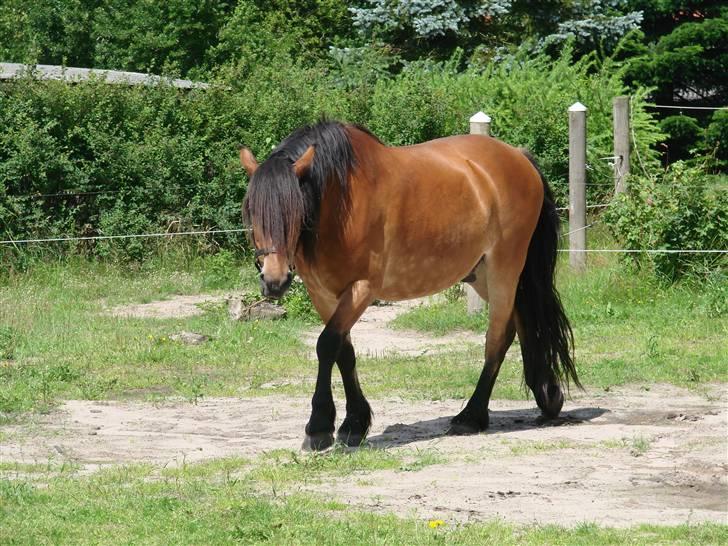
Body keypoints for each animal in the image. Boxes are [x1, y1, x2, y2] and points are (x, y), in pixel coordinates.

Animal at [239, 121, 580, 448]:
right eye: (252, 212)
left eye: (294, 212)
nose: (274, 281)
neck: (341, 203)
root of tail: (518, 156)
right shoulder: (323, 294)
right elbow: (343, 351)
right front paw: (355, 424)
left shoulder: (362, 288)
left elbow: (326, 345)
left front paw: (320, 427)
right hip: (482, 274)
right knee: (521, 323)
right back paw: (546, 395)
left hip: (504, 269)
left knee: (498, 337)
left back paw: (471, 416)